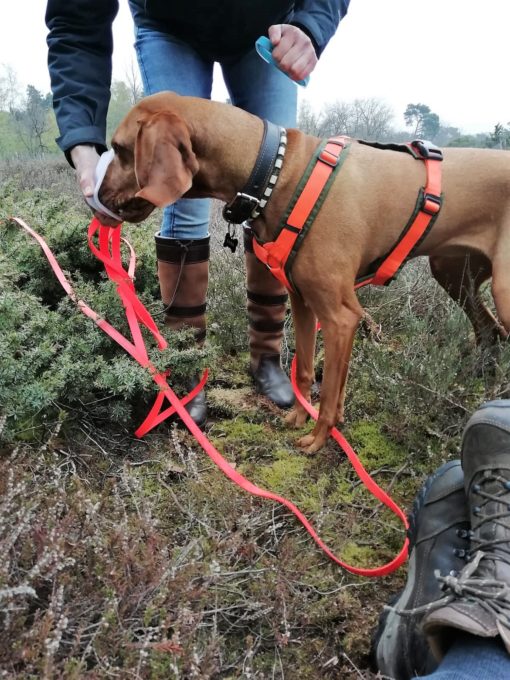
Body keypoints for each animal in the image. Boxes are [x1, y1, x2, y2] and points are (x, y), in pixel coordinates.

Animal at [97, 90, 510, 452]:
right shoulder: (303, 302)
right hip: (452, 272)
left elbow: (328, 391)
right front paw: (300, 416)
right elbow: (308, 371)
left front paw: (318, 437)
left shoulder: (341, 316)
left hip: (501, 291)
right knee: (490, 331)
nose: (97, 197)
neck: (277, 173)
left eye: (119, 149)